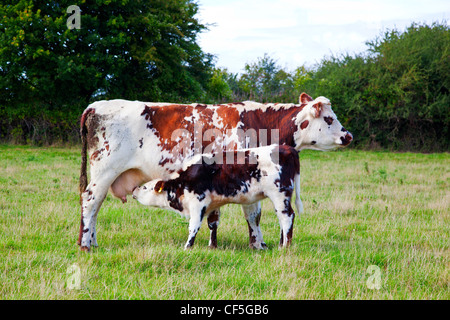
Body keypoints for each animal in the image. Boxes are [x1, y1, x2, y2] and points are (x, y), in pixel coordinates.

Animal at [133, 145, 302, 250]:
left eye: (145, 187)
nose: (134, 190)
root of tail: (288, 148)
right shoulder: (212, 204)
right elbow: (212, 224)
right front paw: (211, 246)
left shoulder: (197, 202)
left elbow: (193, 226)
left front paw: (187, 247)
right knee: (282, 218)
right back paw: (280, 245)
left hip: (279, 194)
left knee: (287, 217)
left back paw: (285, 247)